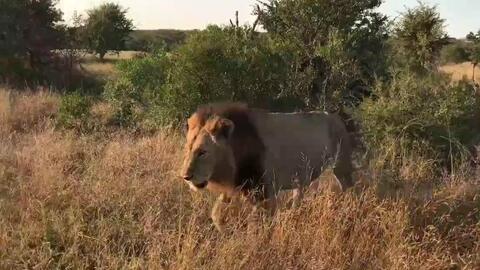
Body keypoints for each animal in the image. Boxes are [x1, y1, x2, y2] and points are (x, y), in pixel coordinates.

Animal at [180, 102, 352, 231]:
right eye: (188, 149)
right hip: (301, 177)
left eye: (202, 152)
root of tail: (336, 116)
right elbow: (216, 214)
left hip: (341, 164)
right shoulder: (238, 186)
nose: (186, 177)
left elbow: (259, 225)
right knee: (298, 195)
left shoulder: (265, 191)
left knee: (350, 187)